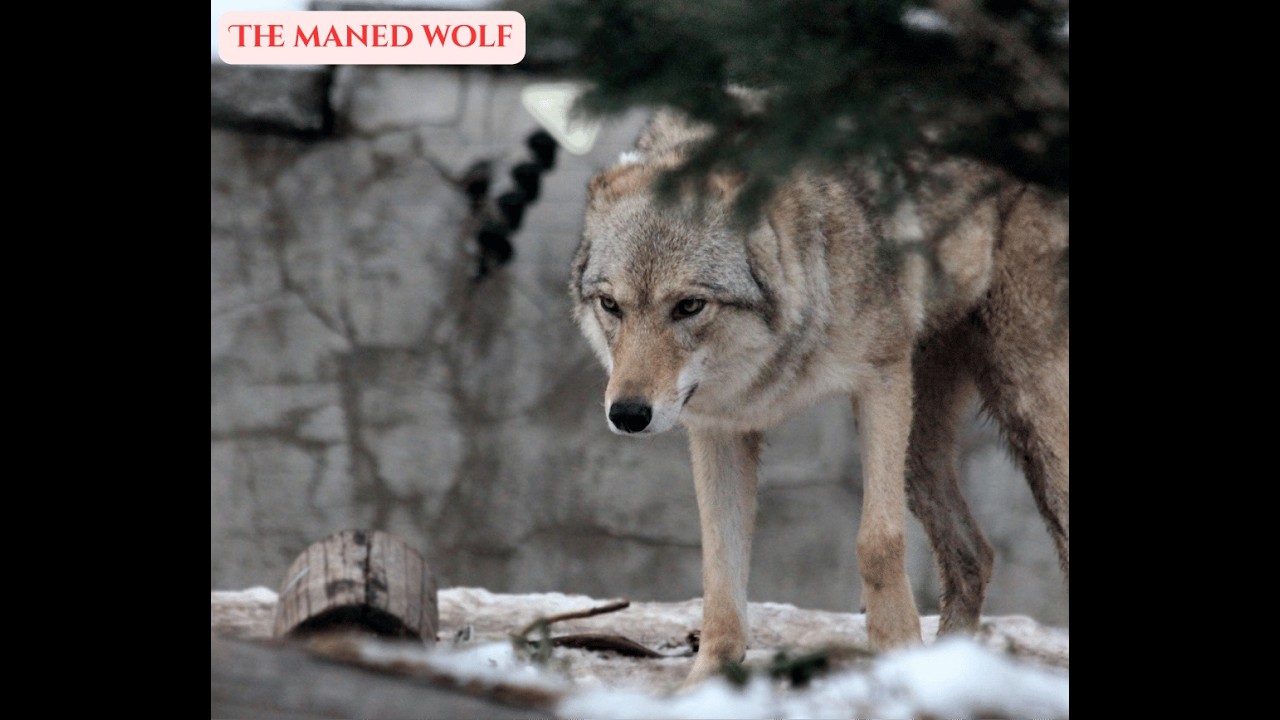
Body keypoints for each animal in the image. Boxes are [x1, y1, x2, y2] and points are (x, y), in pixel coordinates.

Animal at [570, 109, 1069, 685]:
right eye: (611, 305)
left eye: (689, 306)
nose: (628, 414)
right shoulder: (720, 427)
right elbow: (719, 572)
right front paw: (707, 681)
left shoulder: (880, 380)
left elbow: (878, 542)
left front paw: (896, 655)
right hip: (920, 454)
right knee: (975, 555)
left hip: (1026, 411)